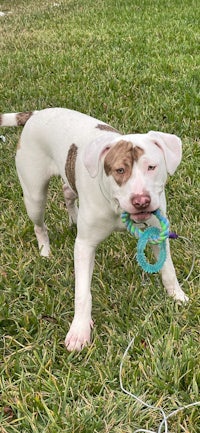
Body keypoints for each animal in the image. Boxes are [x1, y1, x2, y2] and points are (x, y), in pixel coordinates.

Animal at [0, 108, 188, 352]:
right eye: (119, 170)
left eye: (152, 167)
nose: (141, 201)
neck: (117, 208)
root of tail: (37, 113)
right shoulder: (84, 246)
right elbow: (82, 292)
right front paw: (79, 330)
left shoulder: (157, 233)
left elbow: (168, 269)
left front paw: (177, 296)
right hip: (34, 195)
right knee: (39, 224)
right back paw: (45, 250)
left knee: (67, 192)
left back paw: (74, 217)